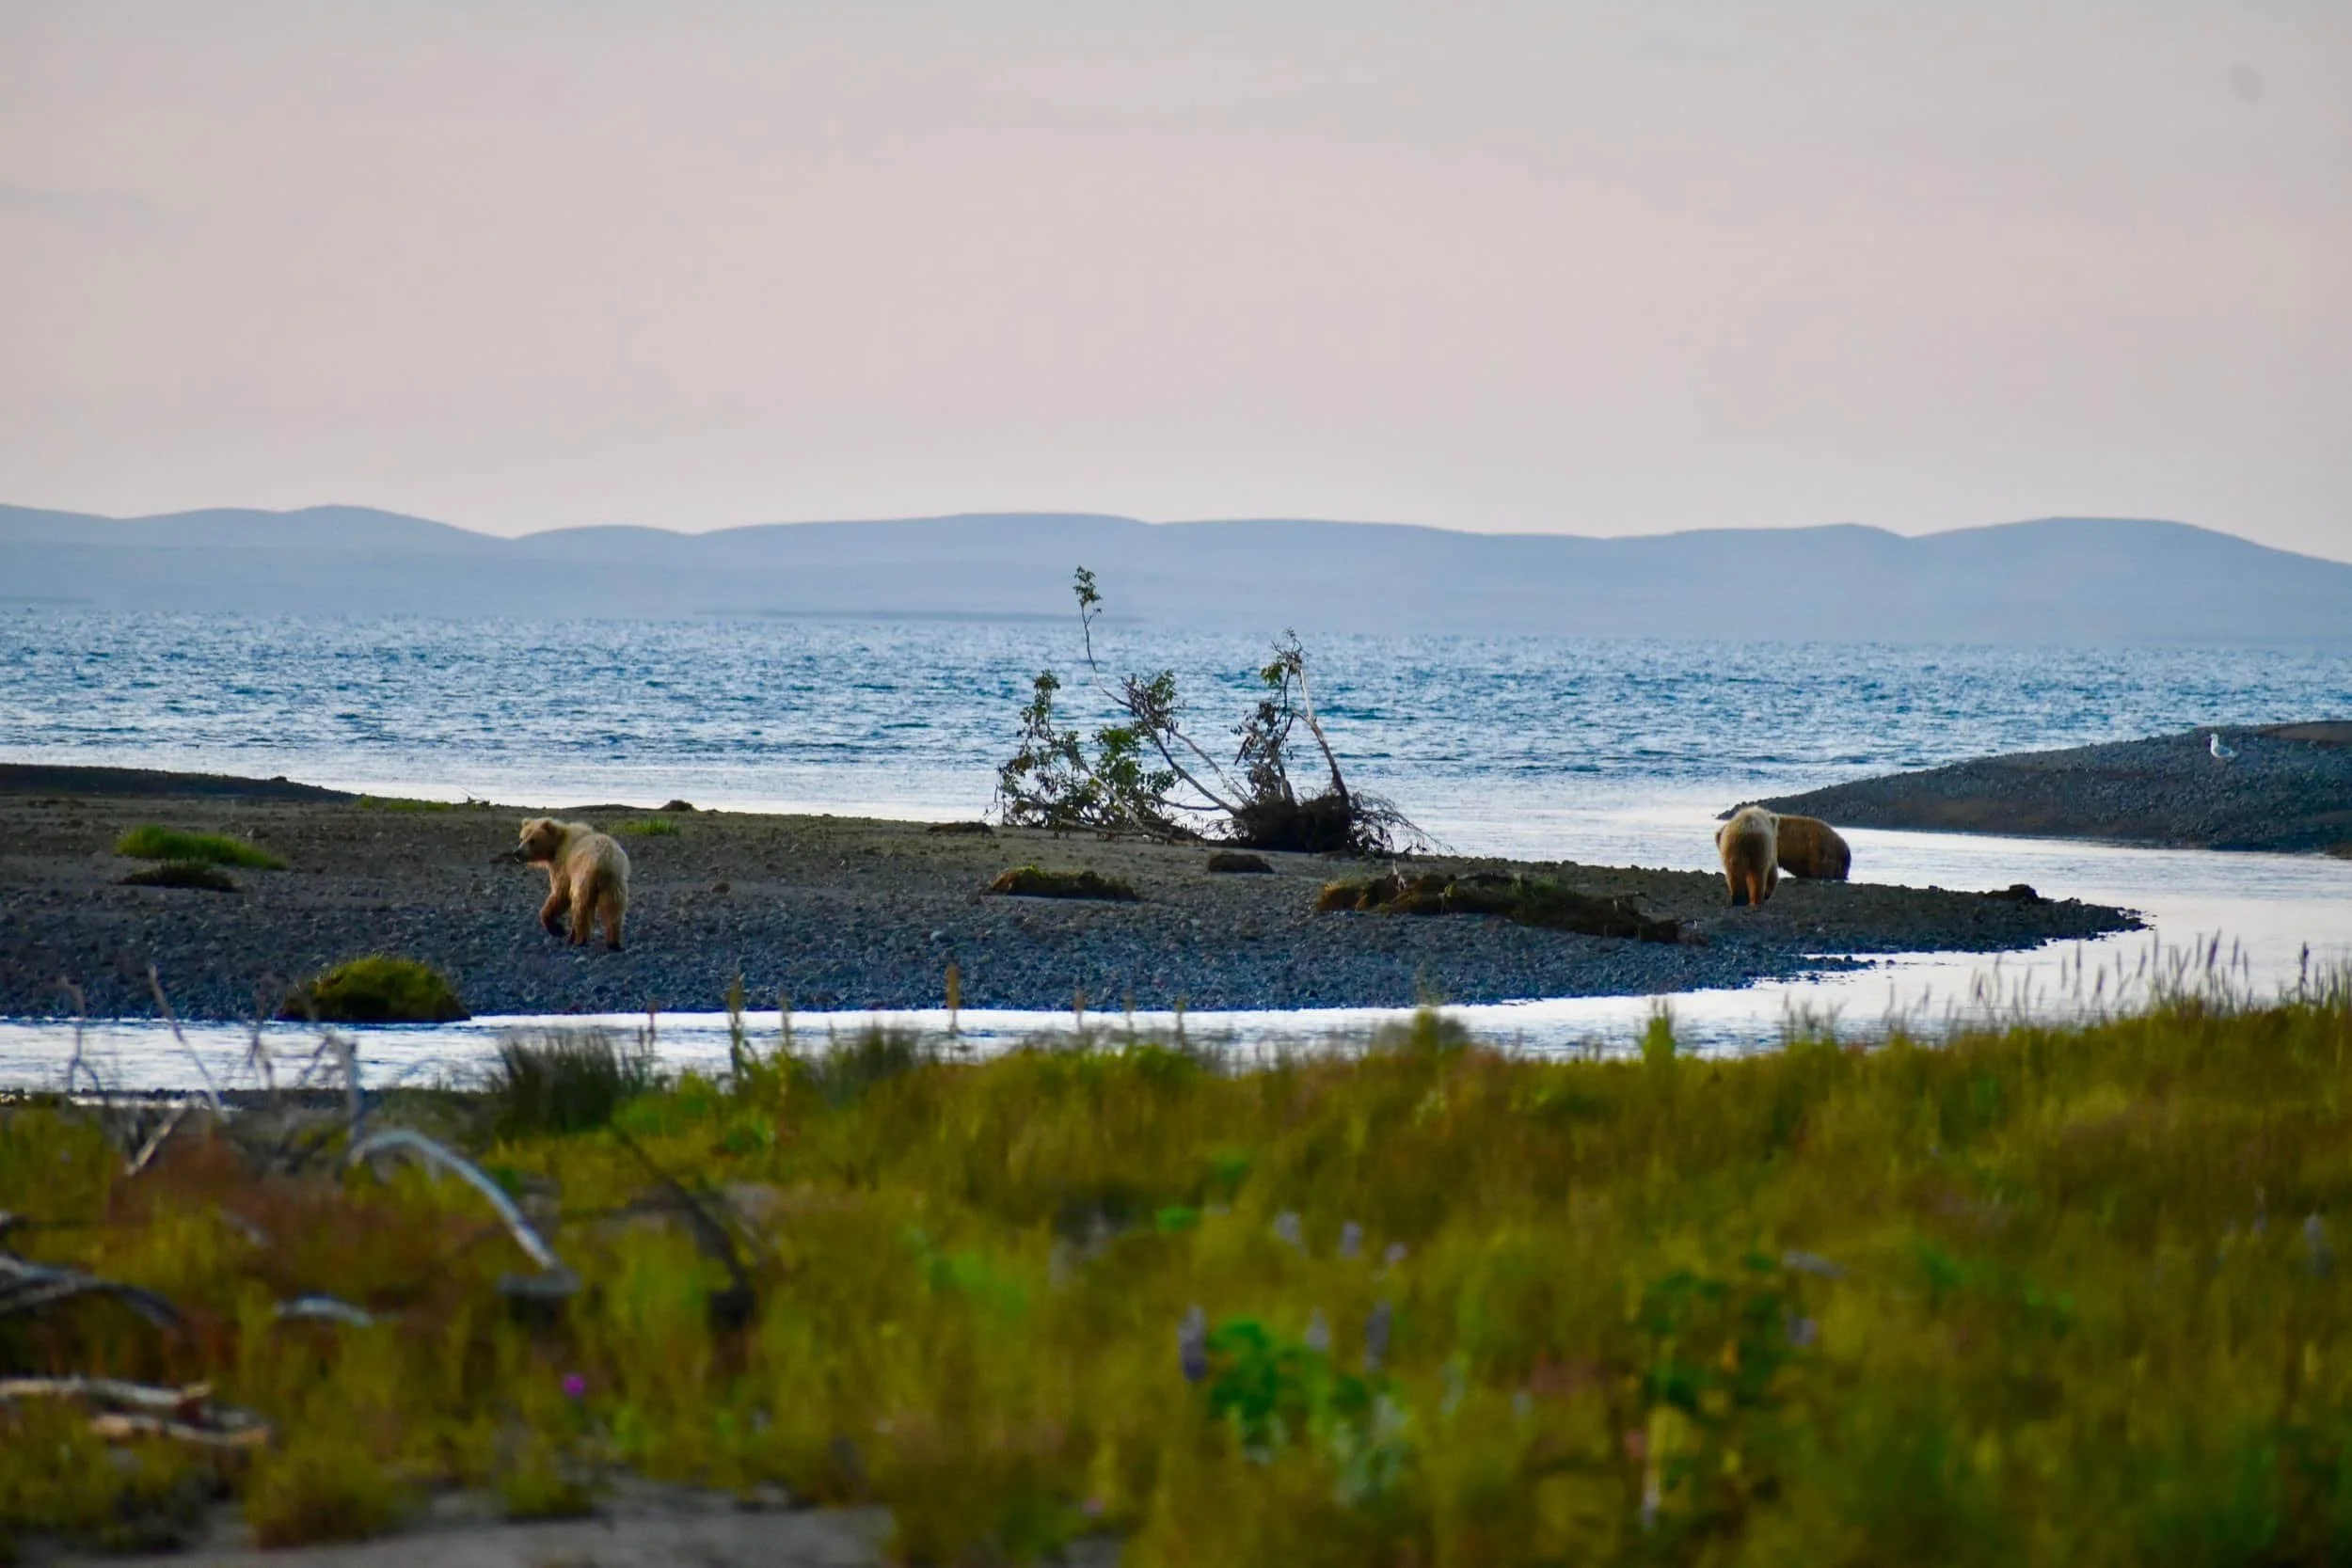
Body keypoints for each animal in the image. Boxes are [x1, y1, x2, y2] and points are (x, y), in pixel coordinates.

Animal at [512, 818, 630, 950]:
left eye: (532, 840)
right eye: (522, 838)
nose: (517, 852)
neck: (555, 846)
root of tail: (605, 861)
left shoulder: (563, 863)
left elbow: (560, 893)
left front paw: (556, 928)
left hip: (584, 876)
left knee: (580, 906)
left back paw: (579, 939)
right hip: (615, 883)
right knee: (613, 910)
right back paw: (613, 942)